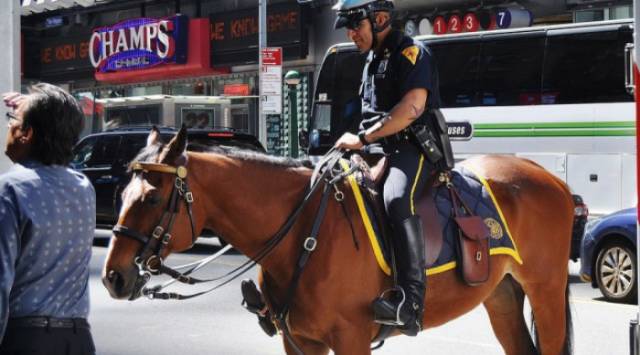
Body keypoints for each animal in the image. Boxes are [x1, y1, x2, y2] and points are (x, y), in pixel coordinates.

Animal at [101, 129, 576, 355]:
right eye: (121, 194)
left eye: (152, 198)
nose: (113, 277)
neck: (303, 232)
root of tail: (549, 177)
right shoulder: (298, 342)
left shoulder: (351, 340)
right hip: (502, 294)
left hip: (546, 290)